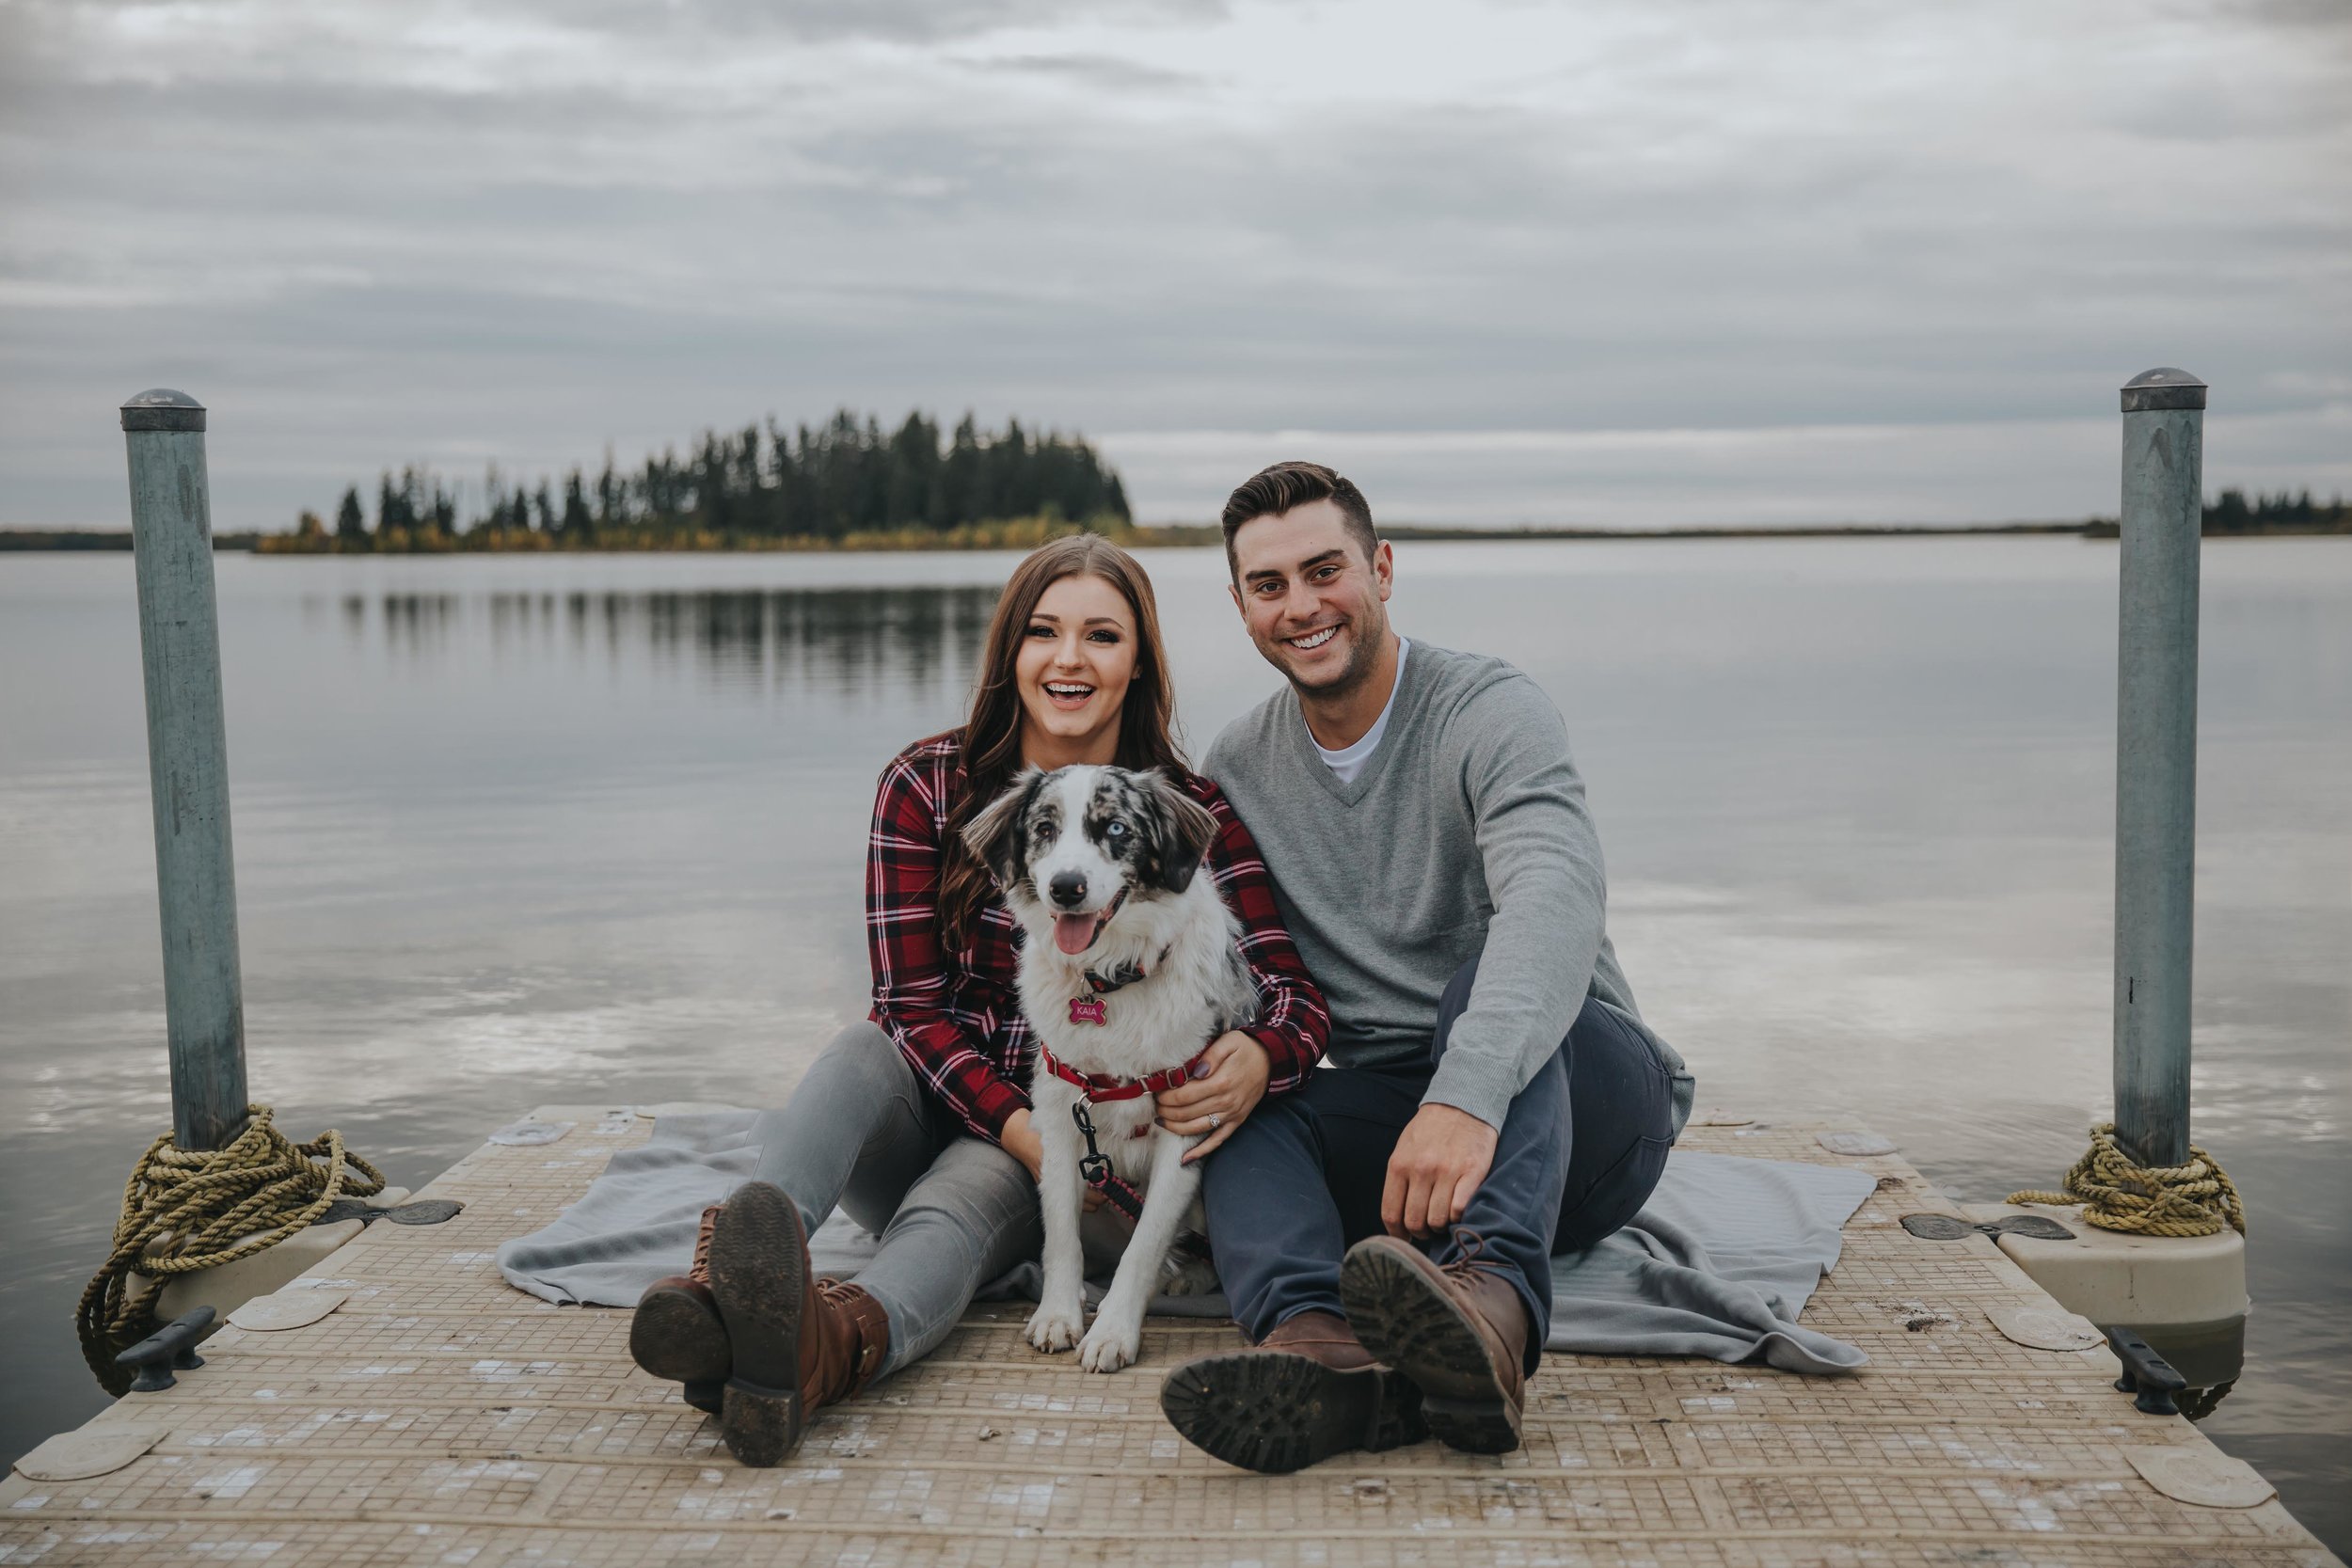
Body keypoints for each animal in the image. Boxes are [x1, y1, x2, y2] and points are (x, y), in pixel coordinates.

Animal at [964, 766, 1261, 1363]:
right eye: (1045, 829)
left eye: (1116, 828)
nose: (1066, 887)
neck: (1110, 982)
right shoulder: (1061, 1118)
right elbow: (1060, 1233)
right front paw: (1058, 1313)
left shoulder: (1184, 1125)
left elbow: (1144, 1246)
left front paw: (1113, 1332)